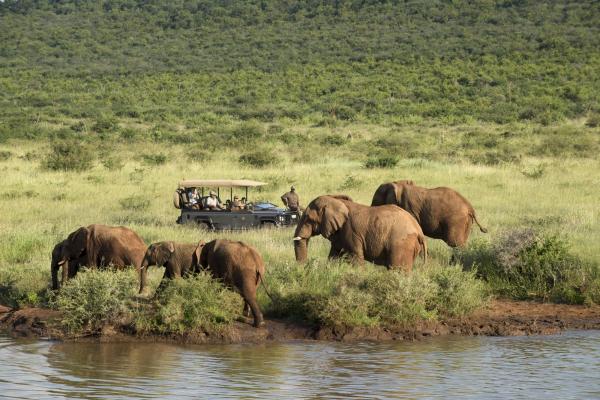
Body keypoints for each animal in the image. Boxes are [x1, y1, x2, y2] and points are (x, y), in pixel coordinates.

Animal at [292, 195, 426, 272]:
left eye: (308, 218)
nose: (304, 269)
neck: (336, 201)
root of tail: (419, 231)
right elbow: (334, 256)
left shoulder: (351, 232)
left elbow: (356, 258)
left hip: (402, 245)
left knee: (398, 270)